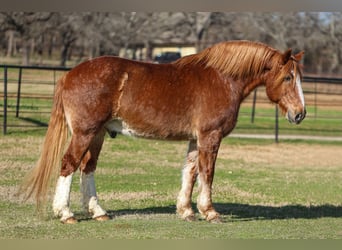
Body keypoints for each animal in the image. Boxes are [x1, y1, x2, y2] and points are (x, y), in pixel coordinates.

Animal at [20, 40, 304, 224]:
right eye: (288, 78)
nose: (300, 113)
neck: (222, 79)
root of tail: (69, 75)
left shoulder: (195, 139)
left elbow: (190, 172)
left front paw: (186, 211)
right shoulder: (210, 136)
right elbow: (207, 173)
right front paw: (209, 212)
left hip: (97, 134)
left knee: (87, 168)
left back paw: (99, 212)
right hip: (84, 133)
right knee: (69, 164)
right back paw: (65, 214)